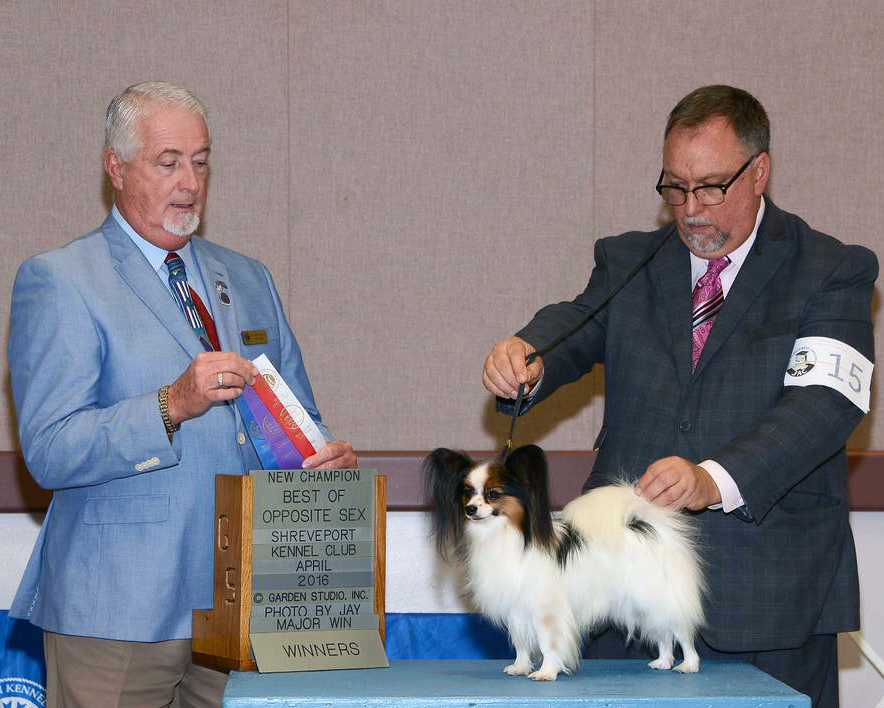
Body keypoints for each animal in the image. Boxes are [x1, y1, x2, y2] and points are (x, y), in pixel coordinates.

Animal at [424, 444, 704, 680]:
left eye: (493, 494)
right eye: (466, 493)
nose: (470, 509)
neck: (504, 535)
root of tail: (647, 527)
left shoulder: (547, 610)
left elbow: (548, 642)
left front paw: (547, 672)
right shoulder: (517, 608)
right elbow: (521, 642)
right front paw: (520, 667)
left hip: (660, 596)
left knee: (681, 632)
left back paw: (689, 665)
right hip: (643, 604)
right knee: (663, 633)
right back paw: (664, 661)